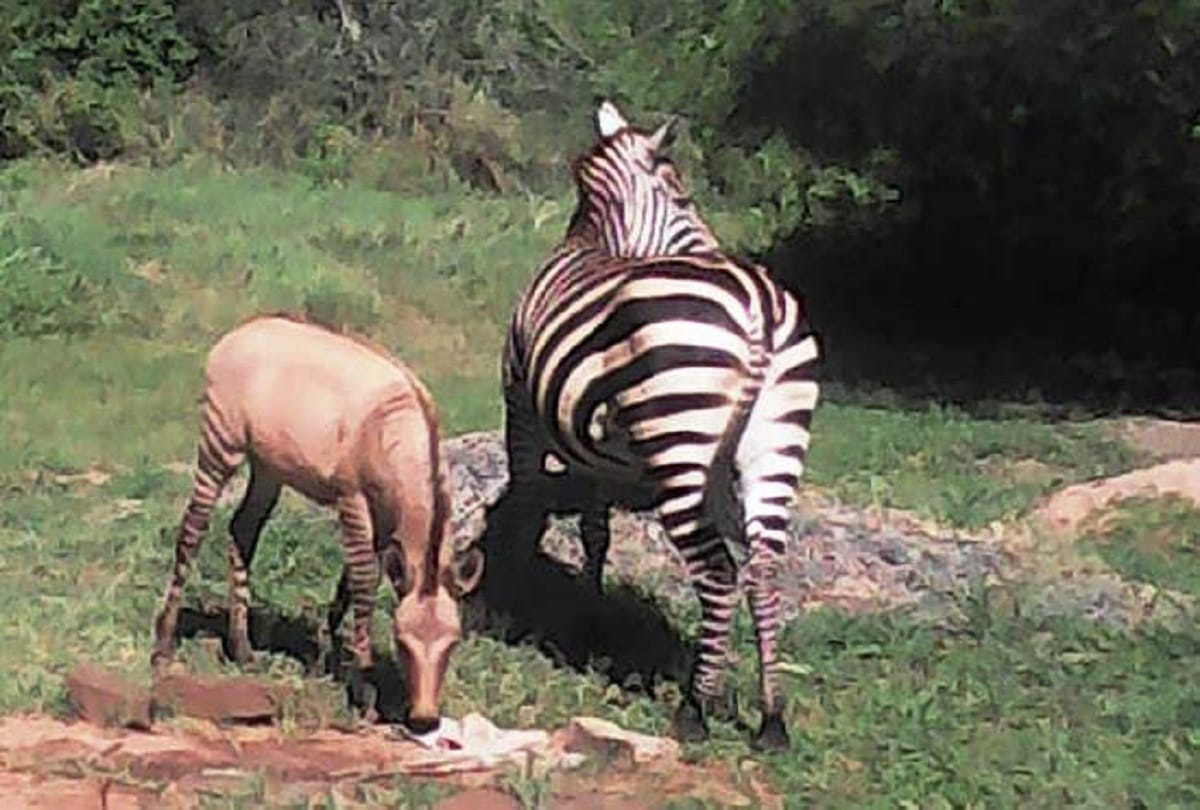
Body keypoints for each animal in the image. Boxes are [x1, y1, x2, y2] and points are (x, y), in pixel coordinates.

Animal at [491, 101, 821, 750]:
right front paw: (586, 617)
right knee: (764, 568)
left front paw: (512, 609)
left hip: (680, 440)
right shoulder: (596, 453)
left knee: (717, 571)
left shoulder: (524, 411)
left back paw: (695, 709)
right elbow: (595, 532)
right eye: (685, 198)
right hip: (773, 442)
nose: (716, 248)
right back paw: (771, 718)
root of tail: (760, 307)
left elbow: (528, 507)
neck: (594, 241)